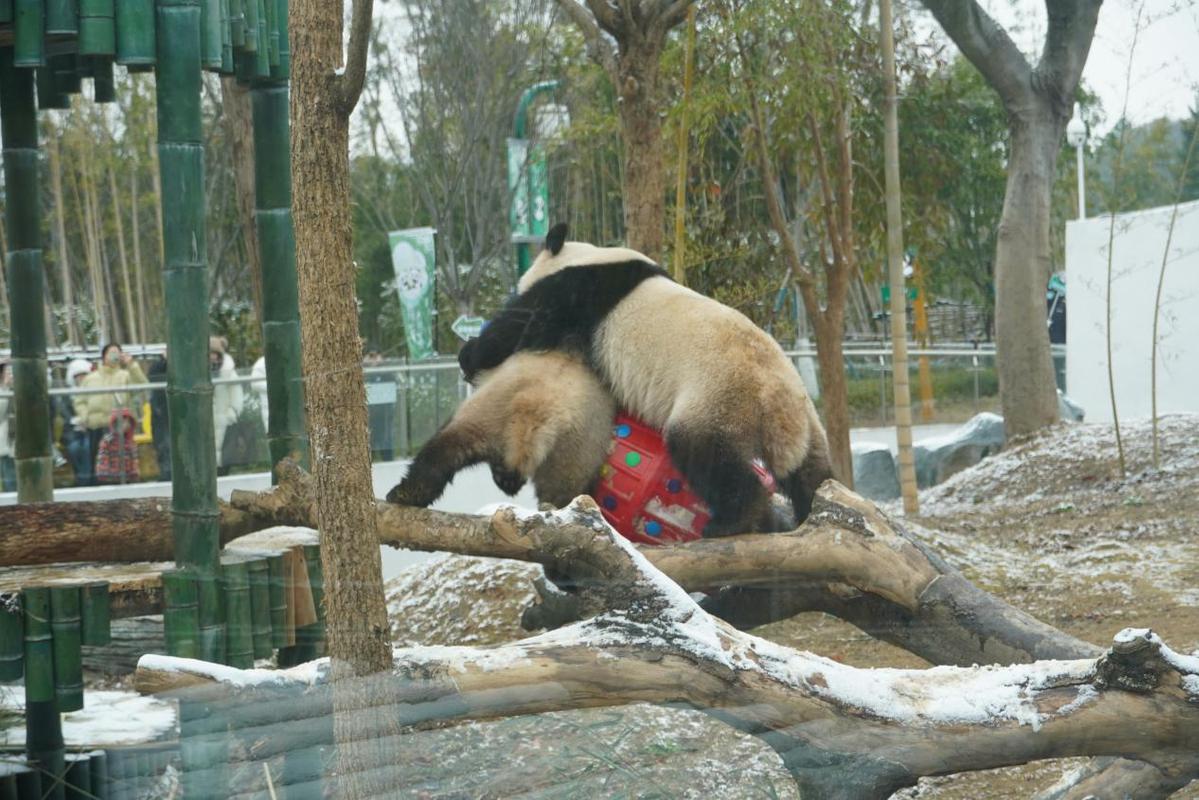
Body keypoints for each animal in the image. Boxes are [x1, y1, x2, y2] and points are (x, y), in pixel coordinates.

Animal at [458, 221, 834, 534]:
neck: (587, 255)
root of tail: (780, 407)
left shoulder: (579, 291)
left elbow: (522, 327)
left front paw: (471, 354)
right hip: (808, 426)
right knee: (813, 477)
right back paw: (816, 512)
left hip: (721, 397)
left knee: (704, 452)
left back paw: (732, 521)